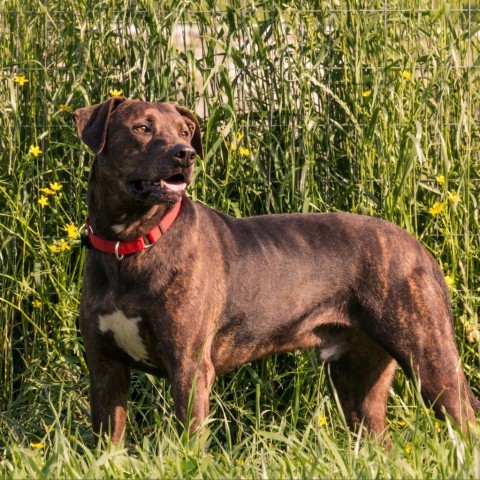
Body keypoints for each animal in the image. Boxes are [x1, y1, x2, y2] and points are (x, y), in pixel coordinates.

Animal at [73, 96, 478, 442]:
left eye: (185, 132)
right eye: (141, 127)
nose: (184, 154)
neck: (130, 245)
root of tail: (419, 247)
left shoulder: (189, 366)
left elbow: (190, 440)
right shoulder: (105, 367)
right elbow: (108, 442)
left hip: (429, 357)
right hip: (358, 377)